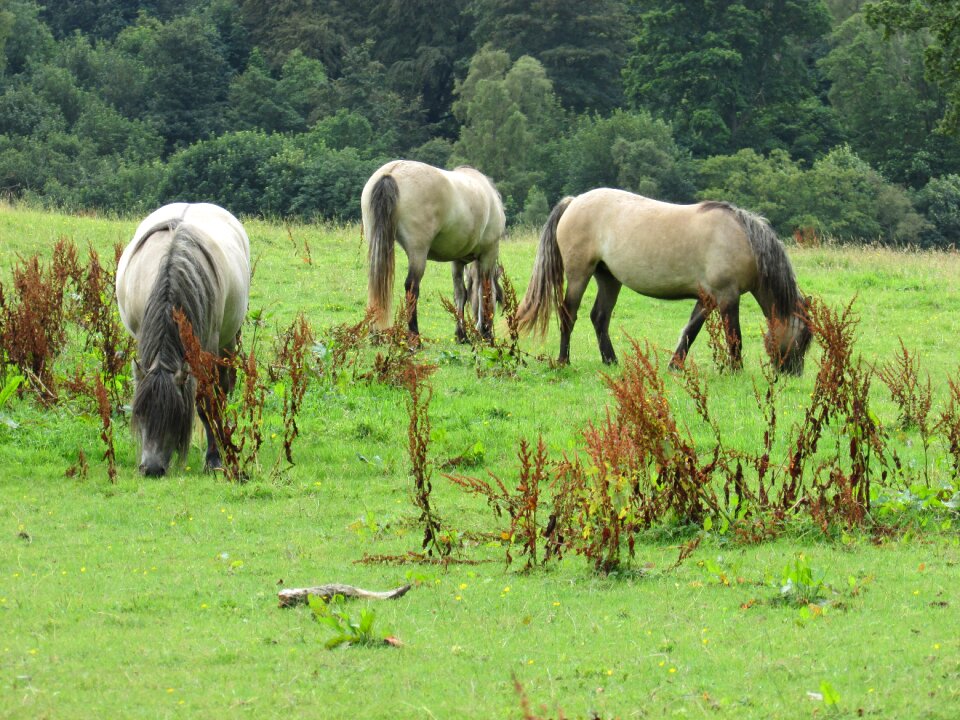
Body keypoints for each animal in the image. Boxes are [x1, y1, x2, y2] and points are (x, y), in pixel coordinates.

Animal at [116, 200, 253, 476]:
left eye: (174, 417)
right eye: (141, 413)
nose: (151, 469)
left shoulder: (207, 349)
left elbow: (207, 402)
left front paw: (213, 459)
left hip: (227, 343)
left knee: (222, 390)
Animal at [362, 160, 510, 340]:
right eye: (499, 299)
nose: (485, 331)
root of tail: (391, 172)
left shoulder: (458, 260)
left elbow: (461, 294)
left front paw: (462, 335)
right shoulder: (489, 253)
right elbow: (485, 291)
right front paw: (486, 333)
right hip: (418, 251)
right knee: (412, 287)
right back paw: (415, 337)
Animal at [512, 188, 812, 374]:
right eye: (803, 337)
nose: (793, 373)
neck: (742, 239)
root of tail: (574, 202)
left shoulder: (707, 298)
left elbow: (690, 331)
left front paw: (674, 366)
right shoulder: (727, 296)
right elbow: (734, 336)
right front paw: (736, 370)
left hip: (608, 278)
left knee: (599, 317)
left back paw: (611, 361)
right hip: (578, 274)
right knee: (568, 314)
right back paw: (564, 360)